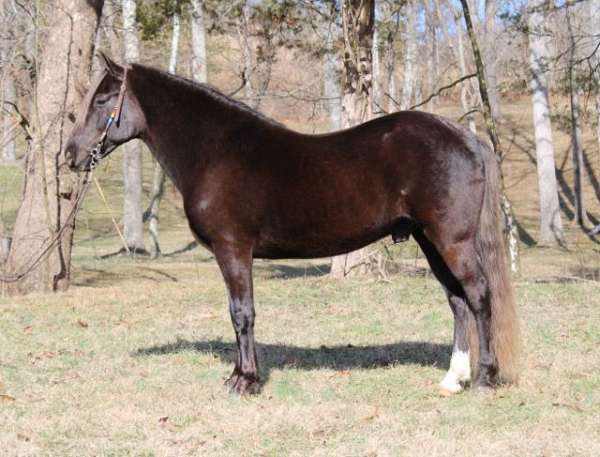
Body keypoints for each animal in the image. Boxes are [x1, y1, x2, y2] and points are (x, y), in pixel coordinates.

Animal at [65, 55, 520, 394]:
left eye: (103, 100)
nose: (70, 155)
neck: (216, 150)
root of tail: (463, 135)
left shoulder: (233, 249)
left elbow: (241, 313)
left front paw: (244, 381)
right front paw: (241, 375)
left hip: (452, 240)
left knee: (478, 296)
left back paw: (484, 378)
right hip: (430, 239)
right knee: (457, 301)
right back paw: (453, 378)